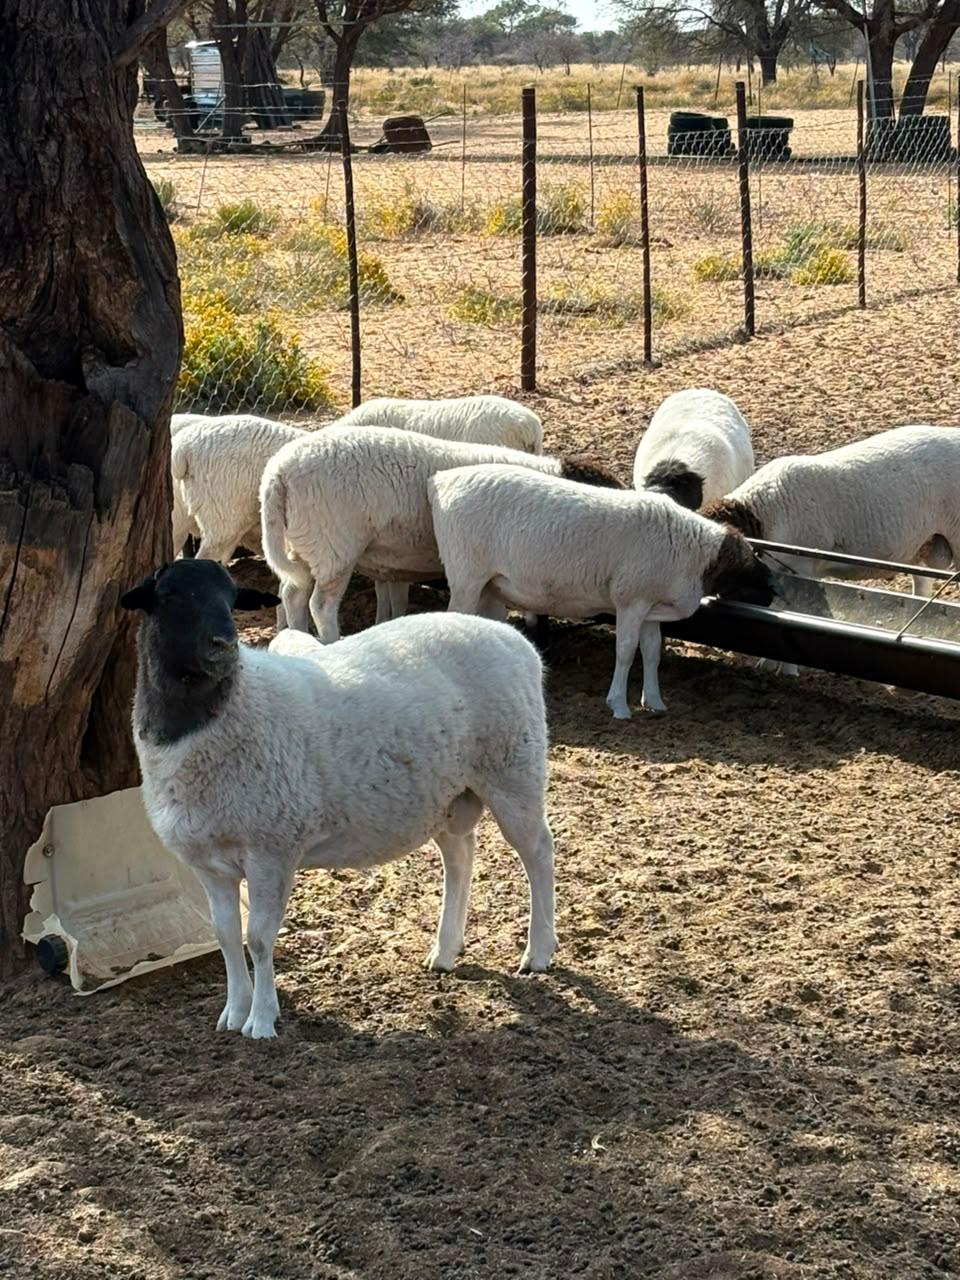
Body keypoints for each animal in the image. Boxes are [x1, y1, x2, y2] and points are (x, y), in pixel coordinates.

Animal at [120, 558, 557, 1039]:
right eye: (171, 597)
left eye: (232, 598)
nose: (225, 644)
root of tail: (515, 641)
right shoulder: (208, 863)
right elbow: (226, 937)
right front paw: (234, 1012)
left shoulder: (272, 848)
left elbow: (259, 939)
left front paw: (262, 1019)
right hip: (448, 794)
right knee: (460, 856)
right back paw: (444, 951)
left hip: (513, 768)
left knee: (539, 852)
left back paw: (538, 952)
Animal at [260, 424, 624, 642]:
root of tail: (278, 473)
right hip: (333, 548)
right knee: (321, 605)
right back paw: (331, 641)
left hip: (304, 546)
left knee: (291, 595)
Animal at [428, 463, 775, 719]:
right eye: (751, 568)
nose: (772, 594)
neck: (692, 552)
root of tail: (441, 481)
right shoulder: (631, 600)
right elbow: (626, 652)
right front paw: (619, 705)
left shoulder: (651, 606)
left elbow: (651, 651)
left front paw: (654, 701)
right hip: (466, 576)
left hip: (488, 583)